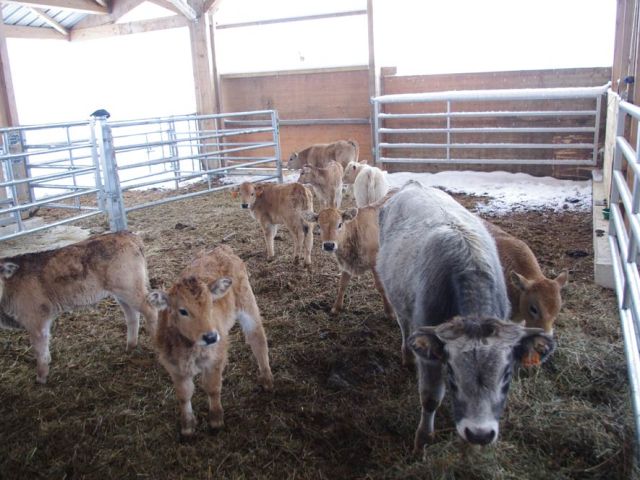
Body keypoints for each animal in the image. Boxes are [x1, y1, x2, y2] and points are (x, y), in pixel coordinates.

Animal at [0, 231, 156, 384]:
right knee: (132, 316)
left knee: (151, 310)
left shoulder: (35, 320)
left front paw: (41, 377)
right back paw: (130, 346)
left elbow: (39, 349)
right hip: (121, 293)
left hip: (130, 289)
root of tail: (128, 234)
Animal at [149, 246, 274, 436]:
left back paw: (267, 379)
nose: (211, 337)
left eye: (211, 305)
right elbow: (183, 395)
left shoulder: (215, 359)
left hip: (246, 302)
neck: (190, 350)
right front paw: (187, 426)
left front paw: (216, 420)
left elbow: (213, 388)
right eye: (182, 311)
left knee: (257, 339)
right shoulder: (174, 366)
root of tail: (220, 249)